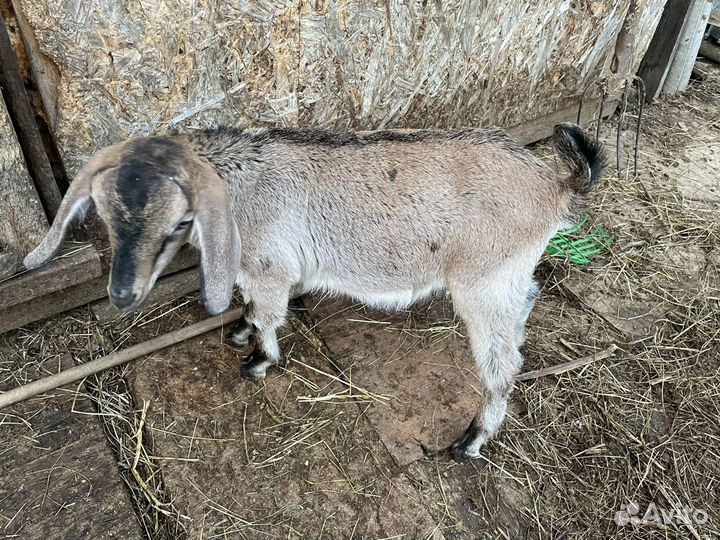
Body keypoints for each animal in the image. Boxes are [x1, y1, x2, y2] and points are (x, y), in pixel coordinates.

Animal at [25, 124, 604, 458]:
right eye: (104, 214)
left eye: (177, 223)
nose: (122, 295)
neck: (239, 180)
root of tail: (555, 187)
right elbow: (255, 306)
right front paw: (239, 331)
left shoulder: (267, 265)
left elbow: (268, 312)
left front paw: (259, 360)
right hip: (508, 280)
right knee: (525, 306)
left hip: (483, 282)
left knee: (503, 364)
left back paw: (471, 439)